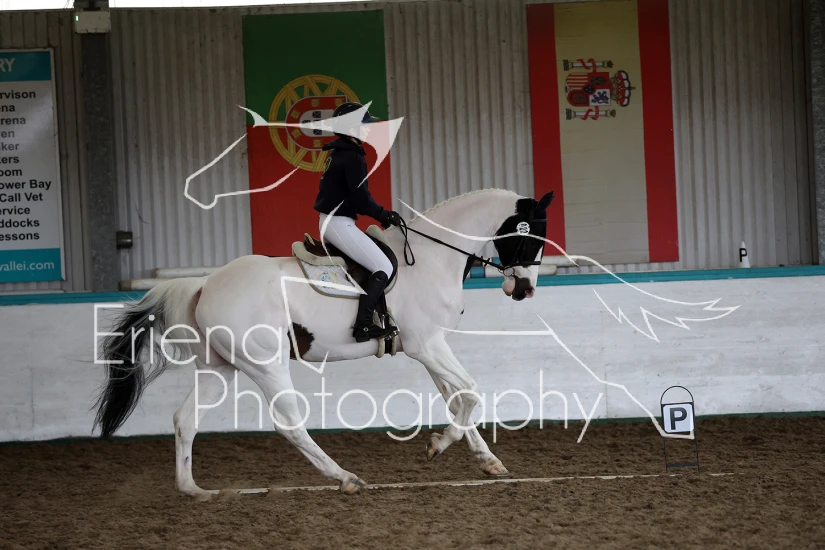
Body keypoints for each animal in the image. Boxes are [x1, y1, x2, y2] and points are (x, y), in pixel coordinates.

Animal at [94, 188, 555, 497]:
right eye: (529, 238)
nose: (525, 289)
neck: (428, 258)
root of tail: (205, 284)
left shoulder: (430, 347)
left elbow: (457, 397)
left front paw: (486, 460)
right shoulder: (426, 345)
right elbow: (471, 390)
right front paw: (439, 445)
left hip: (217, 368)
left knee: (185, 420)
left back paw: (193, 489)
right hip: (266, 364)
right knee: (289, 424)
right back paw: (345, 478)